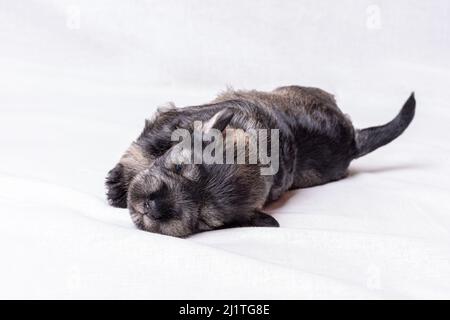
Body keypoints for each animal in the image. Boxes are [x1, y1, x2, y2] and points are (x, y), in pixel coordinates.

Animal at [104, 86, 414, 236]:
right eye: (178, 168)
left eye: (204, 220)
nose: (154, 208)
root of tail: (353, 142)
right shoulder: (174, 122)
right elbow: (145, 147)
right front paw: (120, 185)